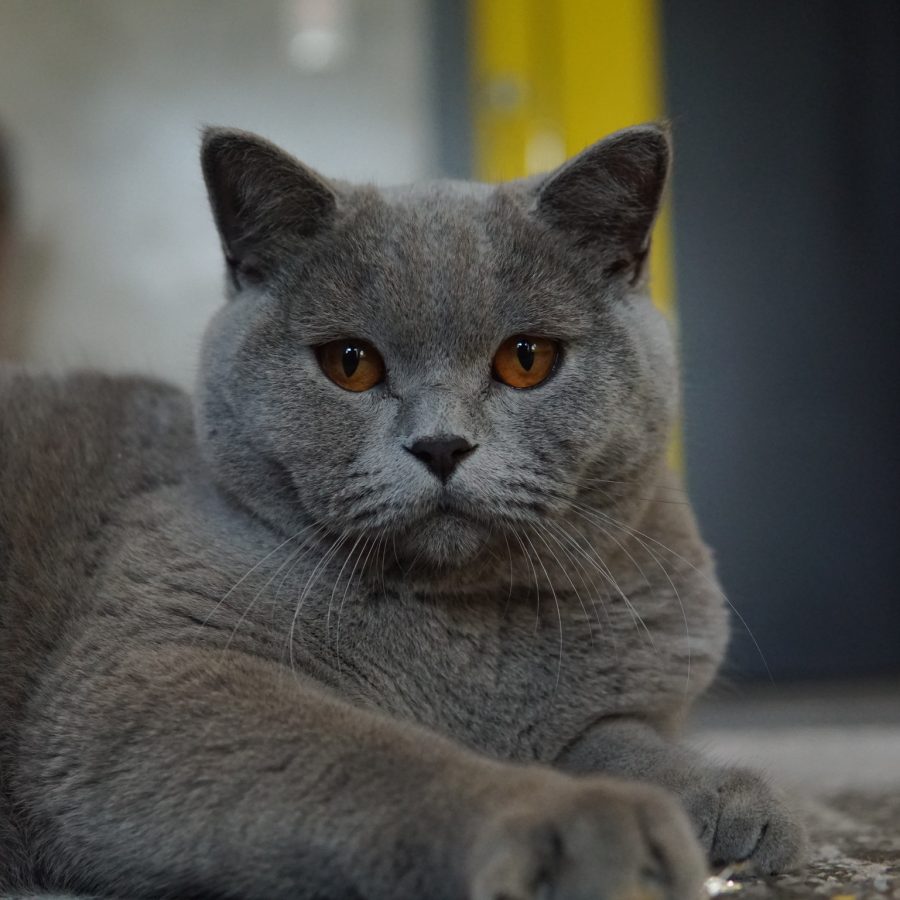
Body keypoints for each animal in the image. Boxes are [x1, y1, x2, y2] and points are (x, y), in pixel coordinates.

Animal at [0, 123, 800, 896]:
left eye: (527, 359)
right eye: (350, 363)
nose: (441, 444)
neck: (468, 630)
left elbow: (619, 735)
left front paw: (725, 799)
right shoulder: (152, 670)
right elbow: (378, 755)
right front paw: (581, 827)